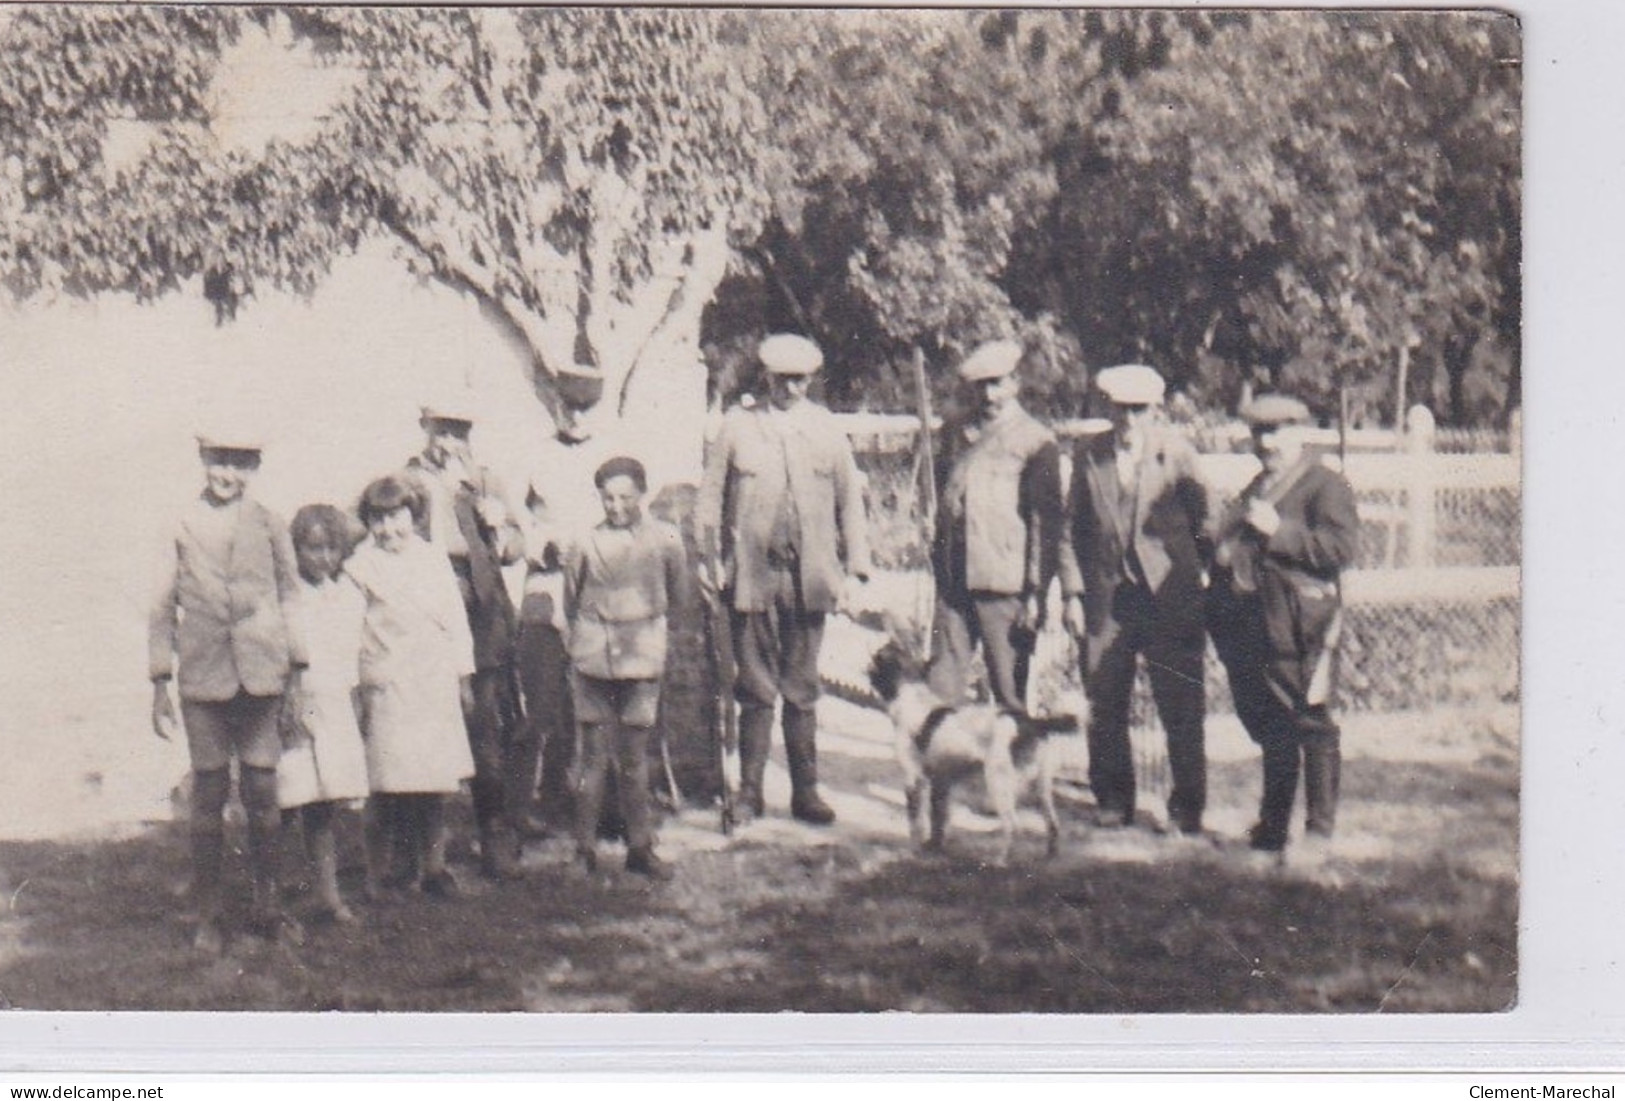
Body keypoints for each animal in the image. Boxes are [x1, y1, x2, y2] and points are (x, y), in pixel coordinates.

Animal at [871, 643, 1085, 863]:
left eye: (878, 657)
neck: (913, 697)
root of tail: (1031, 722)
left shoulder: (914, 779)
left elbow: (915, 822)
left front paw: (913, 851)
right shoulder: (940, 781)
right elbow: (939, 815)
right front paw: (933, 846)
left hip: (998, 782)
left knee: (1012, 825)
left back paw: (999, 860)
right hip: (1041, 787)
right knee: (1053, 824)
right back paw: (1050, 856)